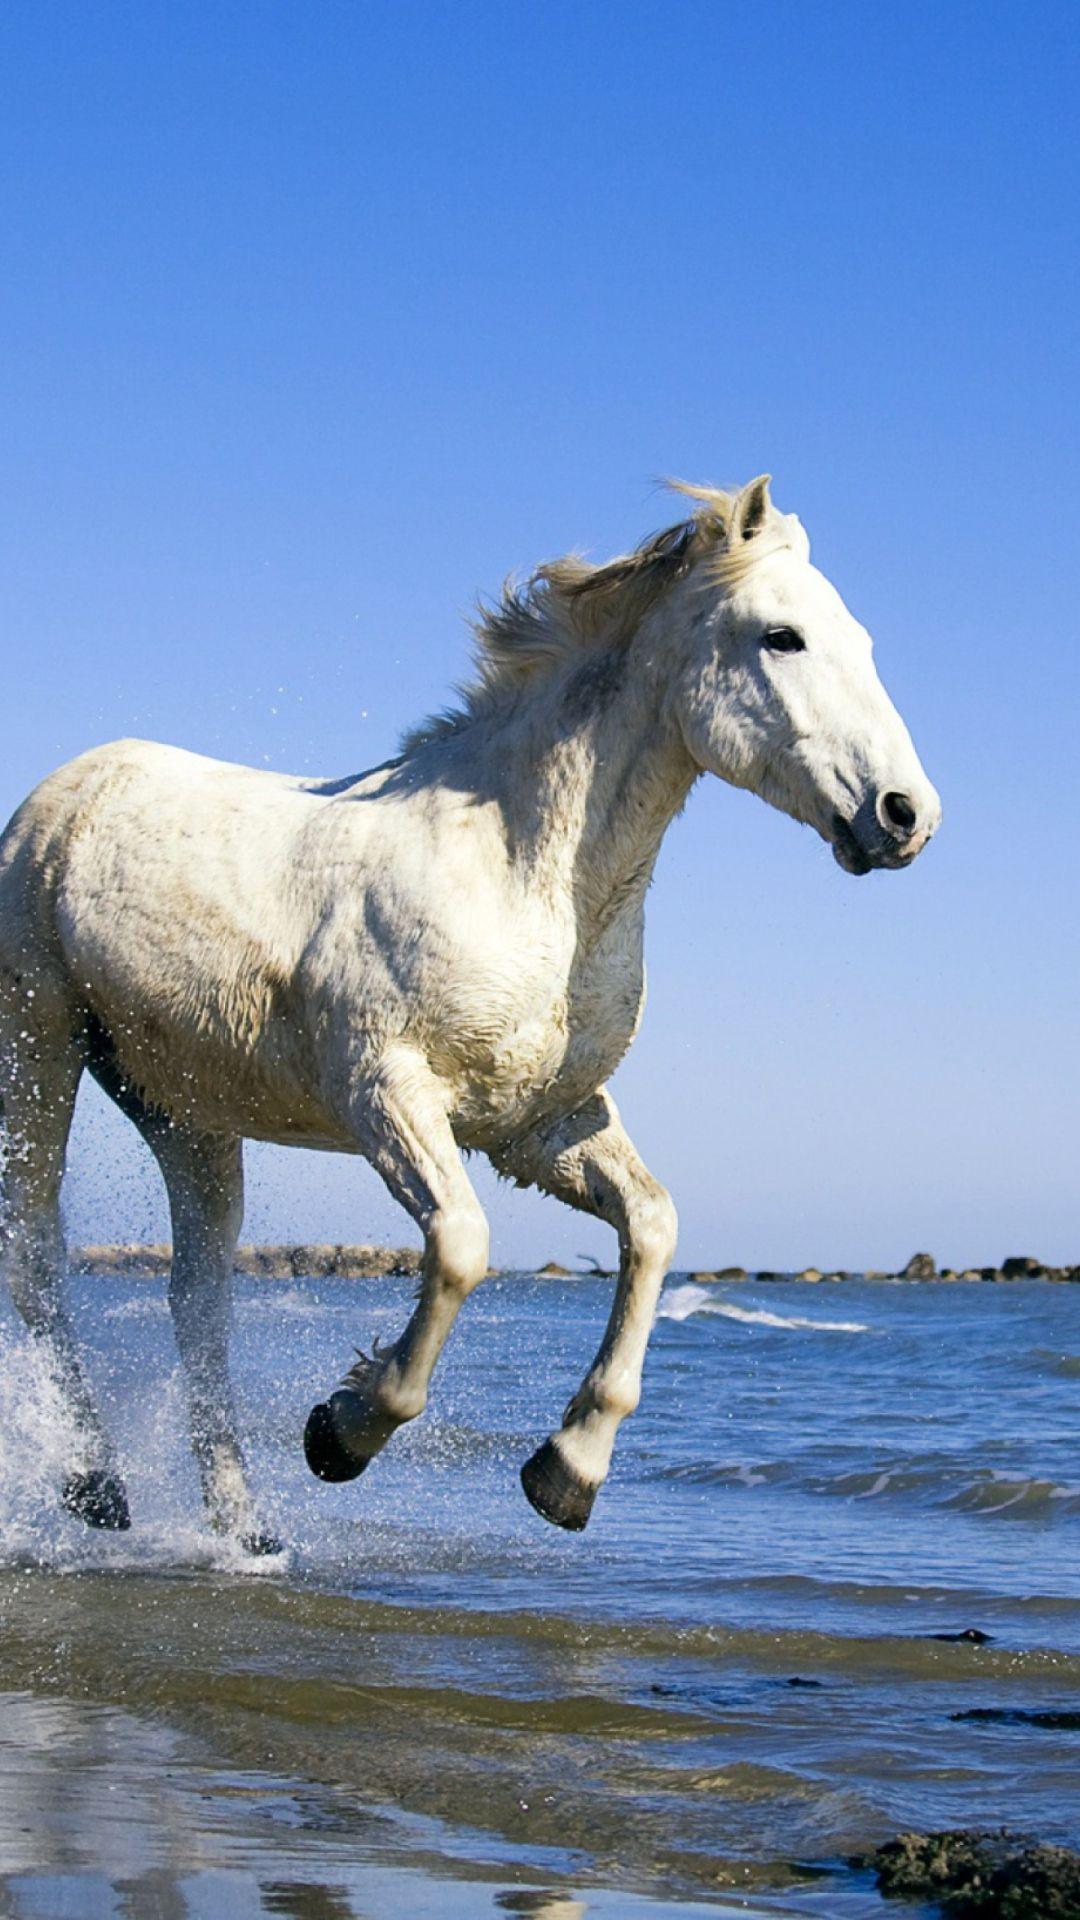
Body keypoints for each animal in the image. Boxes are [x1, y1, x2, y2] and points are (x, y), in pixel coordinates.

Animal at [0, 476, 940, 1551]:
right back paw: (96, 1485)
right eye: (781, 637)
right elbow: (460, 1248)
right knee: (37, 1253)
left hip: (188, 1112)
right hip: (40, 1045)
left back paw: (246, 1529)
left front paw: (568, 1472)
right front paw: (342, 1432)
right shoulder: (386, 1091)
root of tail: (70, 785)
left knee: (198, 1302)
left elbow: (653, 1226)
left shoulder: (541, 1123)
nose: (906, 814)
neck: (521, 873)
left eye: (860, 639)